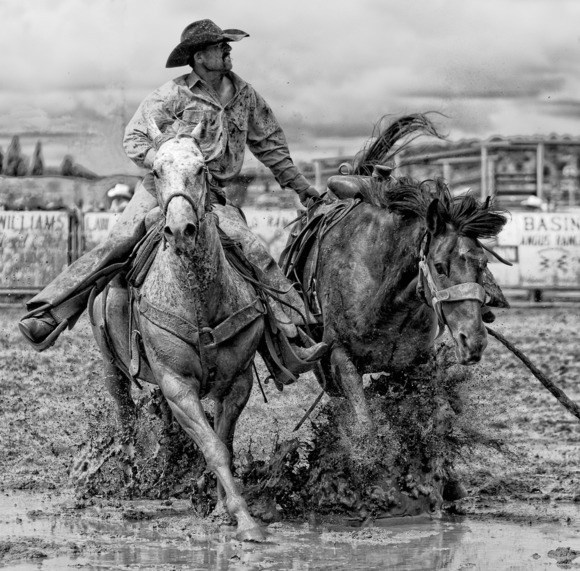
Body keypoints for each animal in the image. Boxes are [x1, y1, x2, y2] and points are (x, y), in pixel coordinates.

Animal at [91, 120, 268, 540]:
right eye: (156, 171)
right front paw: (244, 518)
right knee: (125, 418)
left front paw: (221, 507)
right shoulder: (177, 386)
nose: (180, 230)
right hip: (110, 367)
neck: (200, 297)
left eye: (201, 169)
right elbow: (213, 447)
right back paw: (131, 480)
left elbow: (223, 442)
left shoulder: (237, 382)